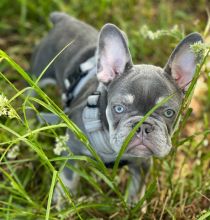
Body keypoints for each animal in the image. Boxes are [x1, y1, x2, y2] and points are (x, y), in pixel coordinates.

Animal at [30, 11, 203, 205]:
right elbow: (69, 177)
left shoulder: (142, 164)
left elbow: (136, 189)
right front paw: (63, 201)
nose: (143, 126)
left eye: (169, 113)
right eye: (118, 108)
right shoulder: (72, 148)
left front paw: (134, 206)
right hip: (39, 75)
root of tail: (63, 19)